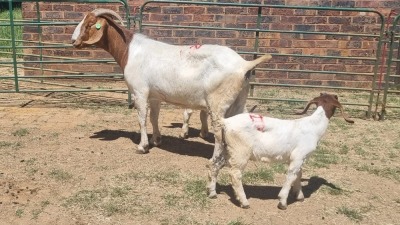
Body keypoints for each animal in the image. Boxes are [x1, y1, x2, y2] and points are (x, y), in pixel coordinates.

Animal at [71, 9, 272, 156]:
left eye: (90, 24)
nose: (73, 41)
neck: (129, 50)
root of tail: (244, 64)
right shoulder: (155, 95)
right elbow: (154, 117)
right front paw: (156, 140)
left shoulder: (139, 91)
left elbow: (141, 119)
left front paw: (142, 146)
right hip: (238, 99)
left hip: (218, 102)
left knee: (220, 130)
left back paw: (216, 156)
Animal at [209, 93, 354, 209]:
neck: (313, 127)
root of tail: (225, 122)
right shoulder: (298, 156)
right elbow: (291, 176)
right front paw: (283, 202)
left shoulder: (299, 158)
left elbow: (298, 175)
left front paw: (299, 196)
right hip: (240, 151)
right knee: (235, 174)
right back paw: (244, 202)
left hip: (224, 148)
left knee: (214, 165)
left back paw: (212, 193)